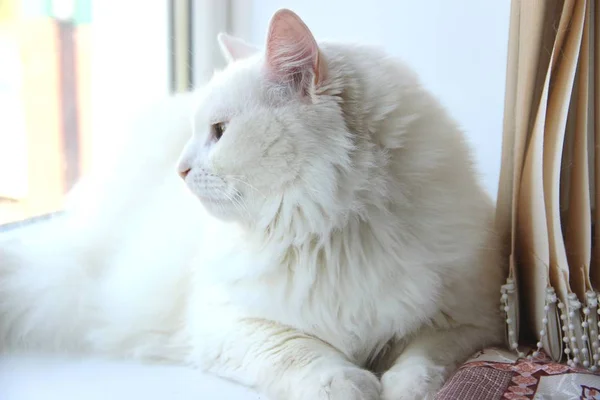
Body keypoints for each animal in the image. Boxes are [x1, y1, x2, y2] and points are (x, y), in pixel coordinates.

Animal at [0, 9, 506, 400]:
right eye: (200, 132)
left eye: (220, 132)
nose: (180, 169)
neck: (337, 230)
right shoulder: (230, 322)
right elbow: (300, 351)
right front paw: (350, 383)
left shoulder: (471, 320)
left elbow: (423, 359)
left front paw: (402, 387)